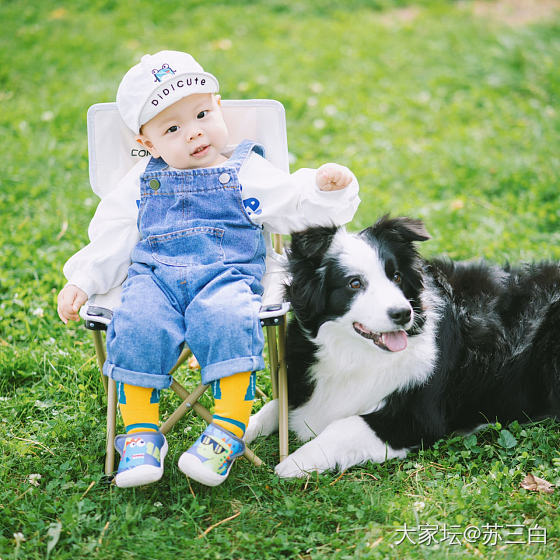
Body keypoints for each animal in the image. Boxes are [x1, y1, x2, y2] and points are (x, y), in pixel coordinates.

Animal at [247, 214, 560, 476]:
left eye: (396, 276)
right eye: (354, 283)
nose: (403, 314)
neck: (356, 354)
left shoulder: (417, 419)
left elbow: (345, 424)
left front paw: (294, 462)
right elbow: (275, 405)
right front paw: (242, 433)